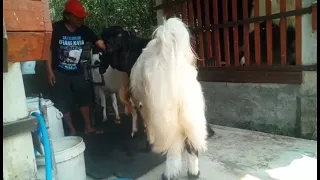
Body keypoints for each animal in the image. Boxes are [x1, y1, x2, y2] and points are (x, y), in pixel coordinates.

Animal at [129, 17, 208, 180]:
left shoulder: (146, 106)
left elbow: (147, 125)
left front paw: (149, 142)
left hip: (168, 118)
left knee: (174, 147)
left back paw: (169, 174)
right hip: (192, 116)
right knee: (192, 147)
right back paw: (193, 173)